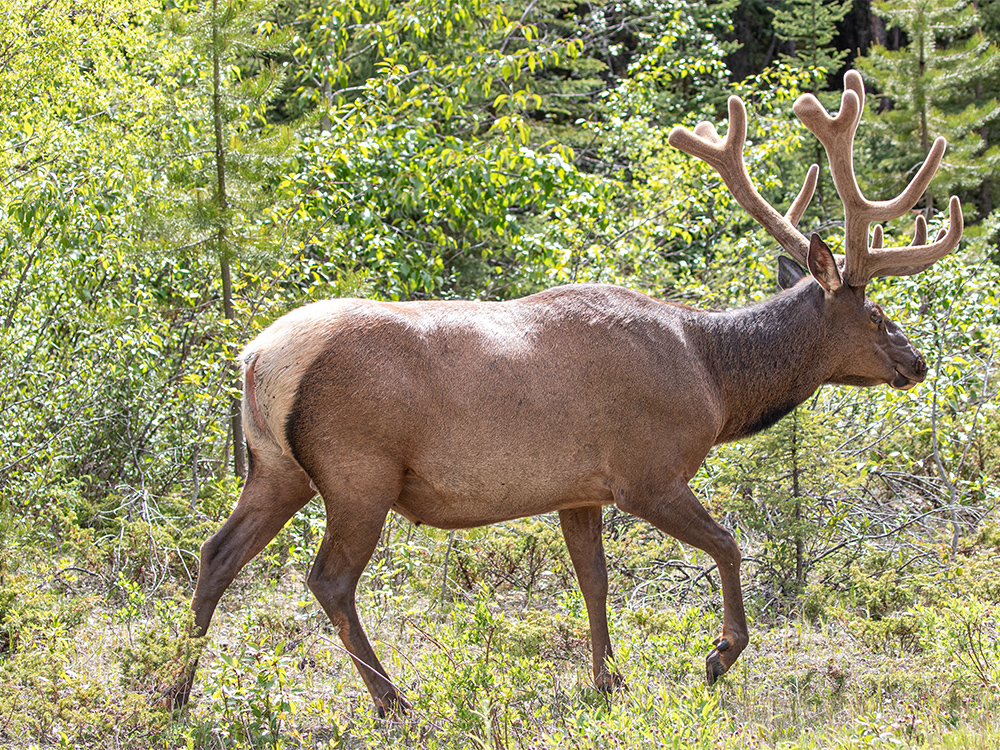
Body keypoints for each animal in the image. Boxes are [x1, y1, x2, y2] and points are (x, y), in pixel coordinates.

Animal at [184, 72, 964, 716]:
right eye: (876, 314)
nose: (917, 361)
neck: (715, 379)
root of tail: (256, 358)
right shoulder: (649, 472)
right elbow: (728, 544)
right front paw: (718, 656)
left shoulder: (578, 489)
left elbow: (594, 579)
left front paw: (608, 679)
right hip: (358, 471)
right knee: (330, 580)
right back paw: (393, 701)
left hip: (276, 469)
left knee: (216, 554)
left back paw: (176, 690)